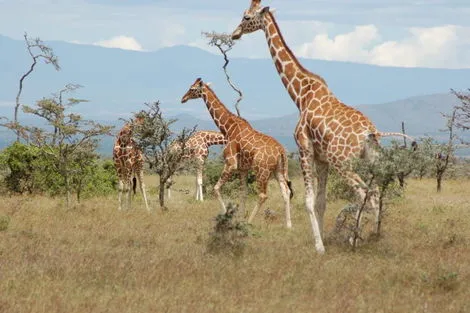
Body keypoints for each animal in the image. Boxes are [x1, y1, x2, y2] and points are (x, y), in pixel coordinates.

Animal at [181, 77, 294, 225]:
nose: (183, 99)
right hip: (279, 170)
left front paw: (226, 216)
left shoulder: (231, 164)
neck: (228, 128)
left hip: (262, 170)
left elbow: (216, 189)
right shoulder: (243, 169)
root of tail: (281, 151)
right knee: (286, 192)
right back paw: (288, 225)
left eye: (192, 89)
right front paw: (240, 218)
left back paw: (250, 222)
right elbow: (243, 193)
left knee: (263, 195)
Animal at [232, 0, 414, 252]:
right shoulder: (322, 159)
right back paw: (375, 236)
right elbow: (321, 202)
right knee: (376, 191)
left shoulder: (305, 149)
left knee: (364, 193)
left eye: (247, 17)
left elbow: (307, 200)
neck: (300, 95)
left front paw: (319, 246)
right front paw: (322, 239)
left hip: (343, 162)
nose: (234, 34)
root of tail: (370, 132)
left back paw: (354, 239)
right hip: (370, 160)